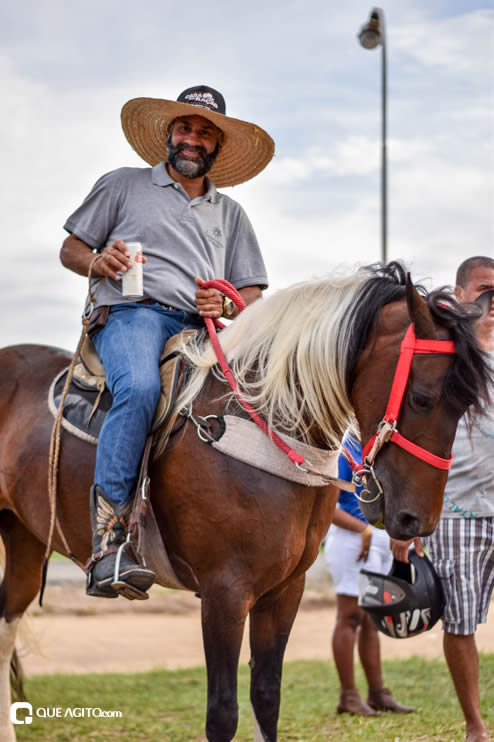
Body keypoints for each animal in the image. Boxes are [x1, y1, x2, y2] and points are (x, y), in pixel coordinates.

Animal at [0, 264, 488, 740]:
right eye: (422, 398)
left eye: (465, 406)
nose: (416, 520)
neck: (261, 426)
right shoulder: (225, 593)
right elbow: (222, 713)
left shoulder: (284, 590)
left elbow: (266, 699)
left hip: (25, 540)